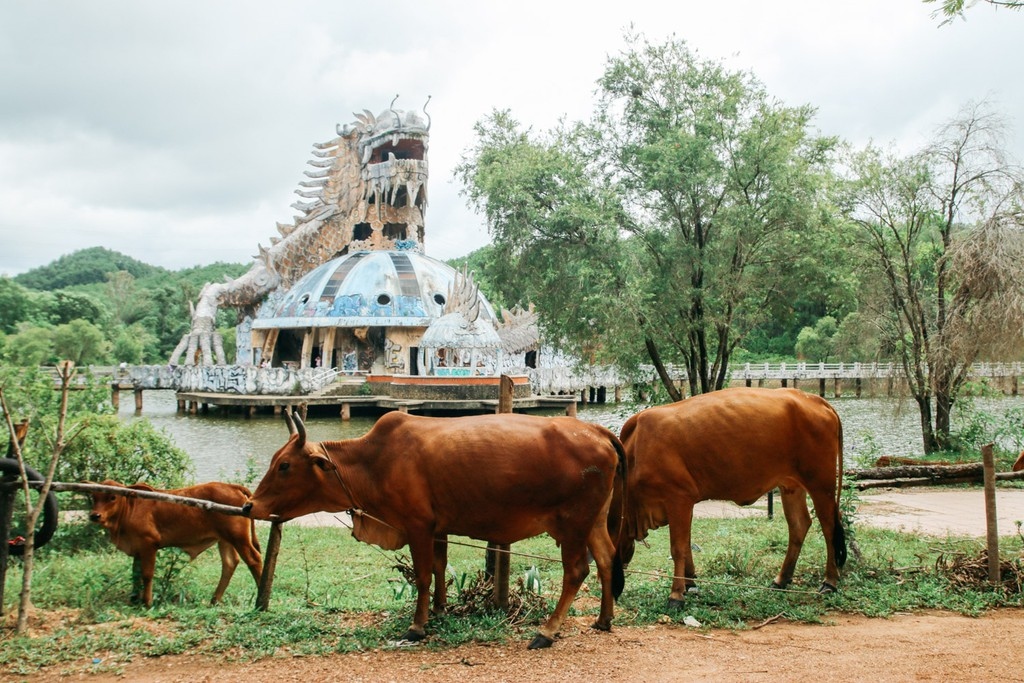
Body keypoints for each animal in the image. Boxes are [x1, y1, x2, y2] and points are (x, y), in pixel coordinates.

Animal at [89, 483, 264, 606]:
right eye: (94, 497)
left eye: (113, 497)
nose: (95, 515)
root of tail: (231, 486)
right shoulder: (137, 548)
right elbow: (135, 574)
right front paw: (134, 599)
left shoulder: (149, 544)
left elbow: (147, 574)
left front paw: (147, 602)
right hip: (225, 540)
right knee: (230, 563)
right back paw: (214, 600)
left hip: (239, 538)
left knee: (254, 559)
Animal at [243, 409, 622, 651]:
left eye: (285, 466)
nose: (249, 506)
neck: (372, 461)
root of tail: (598, 431)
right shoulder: (438, 528)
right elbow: (440, 567)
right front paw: (440, 610)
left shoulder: (417, 526)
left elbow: (423, 574)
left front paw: (417, 626)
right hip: (594, 521)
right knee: (606, 559)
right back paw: (604, 619)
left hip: (573, 523)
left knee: (577, 571)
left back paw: (547, 632)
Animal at [610, 387, 843, 606]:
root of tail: (814, 399)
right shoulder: (685, 504)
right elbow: (687, 544)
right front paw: (690, 583)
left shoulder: (678, 499)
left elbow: (678, 548)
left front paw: (676, 594)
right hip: (791, 485)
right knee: (799, 525)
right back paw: (781, 580)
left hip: (821, 484)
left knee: (829, 527)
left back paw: (829, 582)